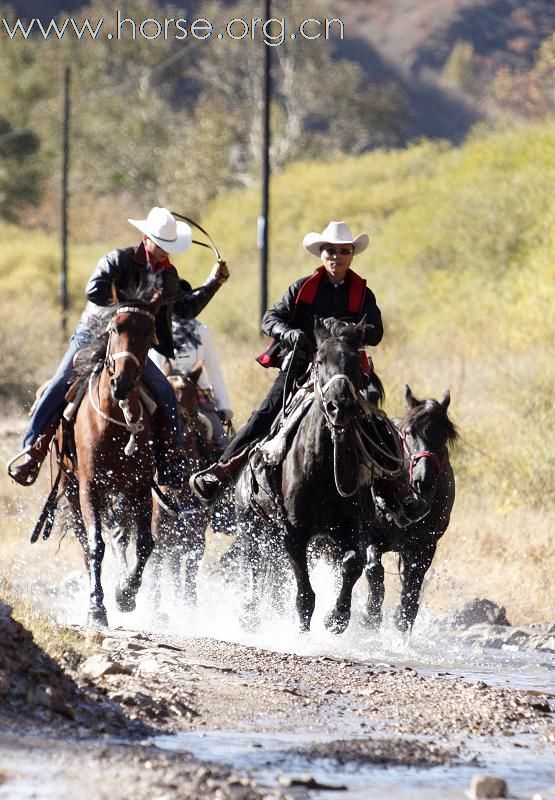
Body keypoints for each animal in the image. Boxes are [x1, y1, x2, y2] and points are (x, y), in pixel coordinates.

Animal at [64, 290, 163, 628]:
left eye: (149, 333)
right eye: (114, 328)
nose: (122, 383)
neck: (115, 424)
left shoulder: (141, 487)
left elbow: (145, 543)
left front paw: (126, 594)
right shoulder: (89, 487)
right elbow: (96, 545)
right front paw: (97, 608)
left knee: (121, 535)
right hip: (71, 490)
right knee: (85, 543)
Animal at [236, 316, 404, 636]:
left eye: (356, 361)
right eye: (320, 359)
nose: (339, 406)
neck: (324, 466)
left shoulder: (349, 528)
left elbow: (352, 564)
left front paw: (337, 617)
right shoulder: (293, 531)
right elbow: (304, 593)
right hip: (252, 525)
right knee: (254, 565)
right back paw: (249, 614)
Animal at [362, 384, 458, 636]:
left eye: (444, 435)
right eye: (408, 432)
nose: (424, 480)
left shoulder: (424, 546)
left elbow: (411, 592)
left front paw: (401, 621)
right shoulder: (368, 535)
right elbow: (374, 571)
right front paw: (370, 616)